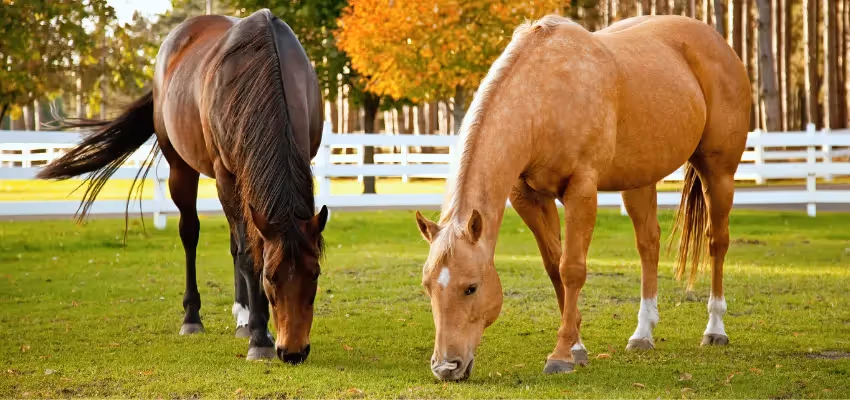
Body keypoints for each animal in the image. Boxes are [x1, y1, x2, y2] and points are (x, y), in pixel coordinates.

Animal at [36, 9, 328, 364]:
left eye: (315, 274)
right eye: (270, 277)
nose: (294, 351)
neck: (264, 67)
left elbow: (245, 248)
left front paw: (254, 327)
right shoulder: (226, 175)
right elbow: (249, 255)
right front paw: (260, 338)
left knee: (234, 242)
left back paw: (242, 317)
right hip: (182, 168)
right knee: (191, 233)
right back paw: (194, 318)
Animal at [414, 14, 751, 380]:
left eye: (472, 287)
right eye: (428, 285)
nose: (446, 367)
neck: (542, 98)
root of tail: (718, 42)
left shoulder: (582, 190)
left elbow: (572, 268)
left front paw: (561, 355)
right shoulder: (528, 197)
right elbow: (554, 266)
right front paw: (577, 346)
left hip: (718, 173)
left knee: (717, 242)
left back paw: (715, 329)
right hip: (638, 181)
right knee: (648, 244)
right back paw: (643, 334)